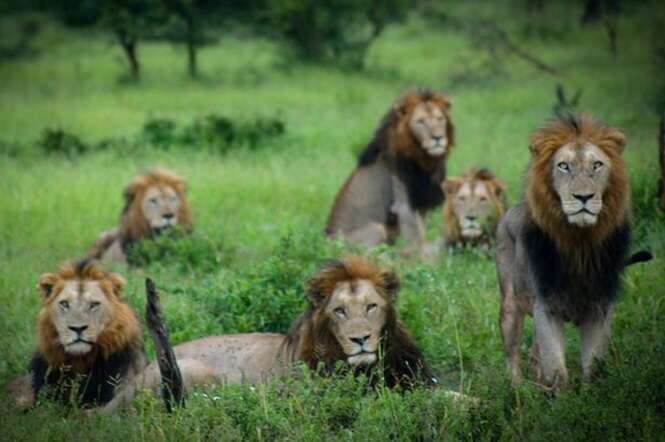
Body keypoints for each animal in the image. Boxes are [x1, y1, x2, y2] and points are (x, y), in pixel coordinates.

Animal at [324, 90, 454, 256]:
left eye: (440, 119)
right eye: (420, 121)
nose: (438, 138)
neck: (424, 161)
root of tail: (325, 242)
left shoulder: (420, 204)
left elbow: (421, 233)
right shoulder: (404, 205)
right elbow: (416, 239)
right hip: (375, 229)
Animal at [498, 115, 648, 392]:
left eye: (597, 165)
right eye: (563, 166)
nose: (584, 197)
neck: (580, 244)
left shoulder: (600, 308)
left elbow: (594, 365)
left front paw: (591, 397)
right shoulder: (546, 307)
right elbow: (557, 369)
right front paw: (562, 400)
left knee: (534, 353)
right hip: (510, 305)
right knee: (512, 354)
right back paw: (519, 392)